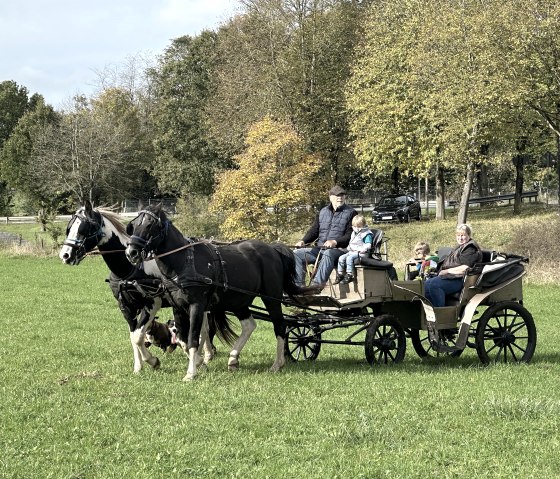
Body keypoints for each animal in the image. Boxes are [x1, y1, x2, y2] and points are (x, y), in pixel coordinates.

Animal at [57, 202, 223, 376]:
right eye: (69, 228)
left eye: (85, 228)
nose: (65, 255)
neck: (131, 268)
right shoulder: (126, 307)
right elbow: (134, 335)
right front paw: (139, 366)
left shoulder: (152, 304)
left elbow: (139, 336)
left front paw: (153, 360)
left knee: (203, 329)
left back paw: (203, 357)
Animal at [124, 204, 312, 380]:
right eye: (133, 224)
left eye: (150, 224)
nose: (131, 252)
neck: (183, 262)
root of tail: (273, 249)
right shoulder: (178, 307)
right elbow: (182, 339)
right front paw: (197, 363)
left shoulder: (196, 305)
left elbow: (192, 339)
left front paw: (191, 373)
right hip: (239, 301)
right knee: (249, 325)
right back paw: (233, 359)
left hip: (272, 298)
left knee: (280, 325)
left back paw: (277, 364)